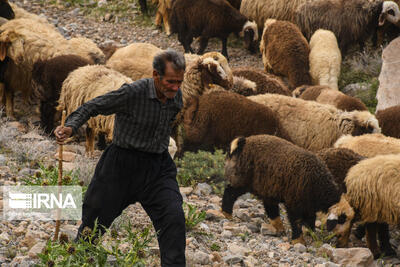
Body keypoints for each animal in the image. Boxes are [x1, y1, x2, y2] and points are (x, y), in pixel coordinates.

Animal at [222, 136, 354, 245]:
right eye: (342, 220)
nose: (343, 244)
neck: (318, 186)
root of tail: (242, 144)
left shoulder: (308, 206)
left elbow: (310, 221)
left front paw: (310, 234)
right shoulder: (294, 202)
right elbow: (296, 221)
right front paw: (298, 240)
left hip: (267, 187)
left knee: (270, 207)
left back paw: (279, 227)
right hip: (242, 180)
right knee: (230, 192)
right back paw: (226, 214)